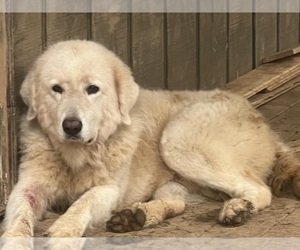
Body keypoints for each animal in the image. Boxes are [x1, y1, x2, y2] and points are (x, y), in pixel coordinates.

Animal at [2, 40, 300, 236]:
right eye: (56, 89)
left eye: (92, 89)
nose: (72, 126)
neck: (77, 155)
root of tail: (266, 127)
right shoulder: (28, 187)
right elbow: (18, 216)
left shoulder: (109, 189)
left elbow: (82, 203)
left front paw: (63, 231)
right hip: (176, 179)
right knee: (178, 203)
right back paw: (137, 217)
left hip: (177, 141)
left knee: (260, 189)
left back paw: (238, 209)